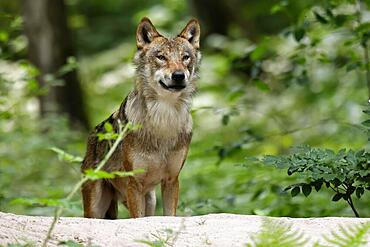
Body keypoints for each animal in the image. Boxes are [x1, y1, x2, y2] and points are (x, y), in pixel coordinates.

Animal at [81, 16, 201, 218]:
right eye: (161, 57)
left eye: (185, 57)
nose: (178, 75)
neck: (164, 118)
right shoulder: (134, 184)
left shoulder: (171, 180)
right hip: (96, 208)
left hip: (150, 200)